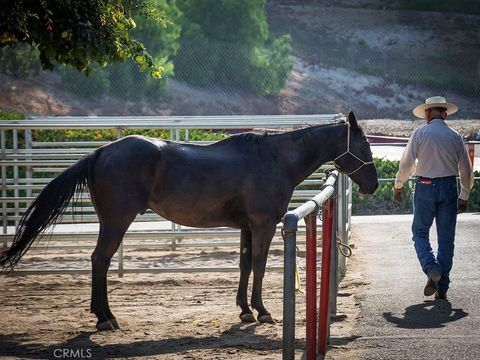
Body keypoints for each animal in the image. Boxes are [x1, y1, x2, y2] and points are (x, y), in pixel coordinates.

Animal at [0, 111, 378, 330]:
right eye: (365, 147)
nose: (373, 185)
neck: (273, 158)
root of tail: (101, 152)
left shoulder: (246, 227)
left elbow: (244, 265)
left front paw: (244, 310)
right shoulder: (264, 225)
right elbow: (258, 265)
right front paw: (262, 311)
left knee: (99, 261)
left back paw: (103, 315)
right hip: (117, 222)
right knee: (100, 260)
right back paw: (106, 318)